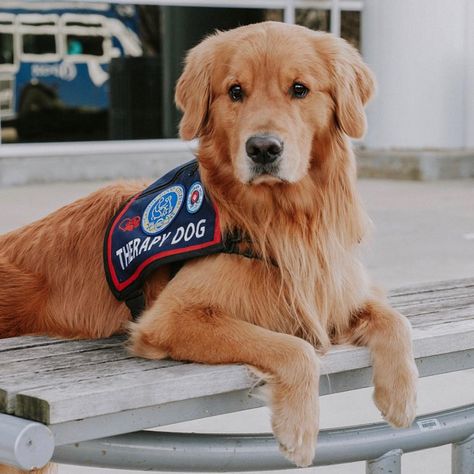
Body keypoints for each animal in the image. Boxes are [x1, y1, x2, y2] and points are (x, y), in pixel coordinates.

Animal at [0, 22, 416, 470]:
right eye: (235, 91)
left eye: (299, 89)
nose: (263, 148)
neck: (280, 220)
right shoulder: (171, 317)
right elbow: (295, 347)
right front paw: (299, 430)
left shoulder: (334, 291)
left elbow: (396, 320)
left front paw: (401, 396)